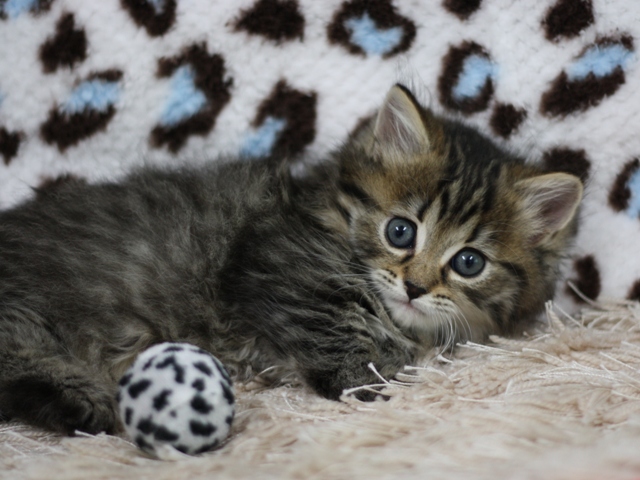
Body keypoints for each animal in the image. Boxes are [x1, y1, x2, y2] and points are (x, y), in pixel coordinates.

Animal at [0, 85, 584, 436]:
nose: (414, 287)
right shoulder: (277, 264)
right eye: (400, 231)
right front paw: (370, 378)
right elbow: (337, 328)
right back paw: (82, 400)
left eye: (468, 263)